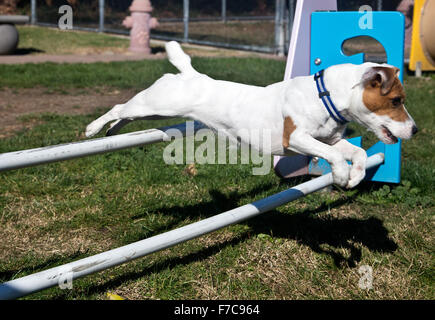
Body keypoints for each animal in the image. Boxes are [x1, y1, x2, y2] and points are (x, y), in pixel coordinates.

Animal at [86, 41, 418, 189]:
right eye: (396, 100)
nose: (415, 131)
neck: (325, 97)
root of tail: (190, 74)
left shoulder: (330, 140)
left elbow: (358, 152)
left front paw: (356, 176)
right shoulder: (296, 138)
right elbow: (335, 158)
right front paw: (339, 175)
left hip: (155, 112)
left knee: (126, 116)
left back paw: (112, 132)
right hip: (157, 104)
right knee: (120, 108)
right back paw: (93, 129)